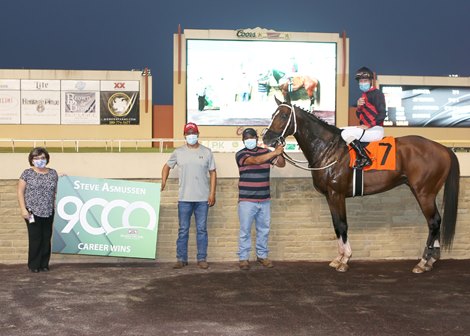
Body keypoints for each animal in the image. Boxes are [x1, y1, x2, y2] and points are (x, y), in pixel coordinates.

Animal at [262, 97, 460, 272]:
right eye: (272, 114)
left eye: (283, 116)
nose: (266, 139)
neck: (328, 149)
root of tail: (443, 149)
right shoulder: (330, 196)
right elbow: (336, 225)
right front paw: (338, 258)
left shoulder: (337, 194)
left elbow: (342, 225)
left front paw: (345, 259)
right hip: (428, 193)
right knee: (436, 222)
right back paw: (431, 260)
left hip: (423, 193)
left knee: (433, 222)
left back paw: (423, 261)